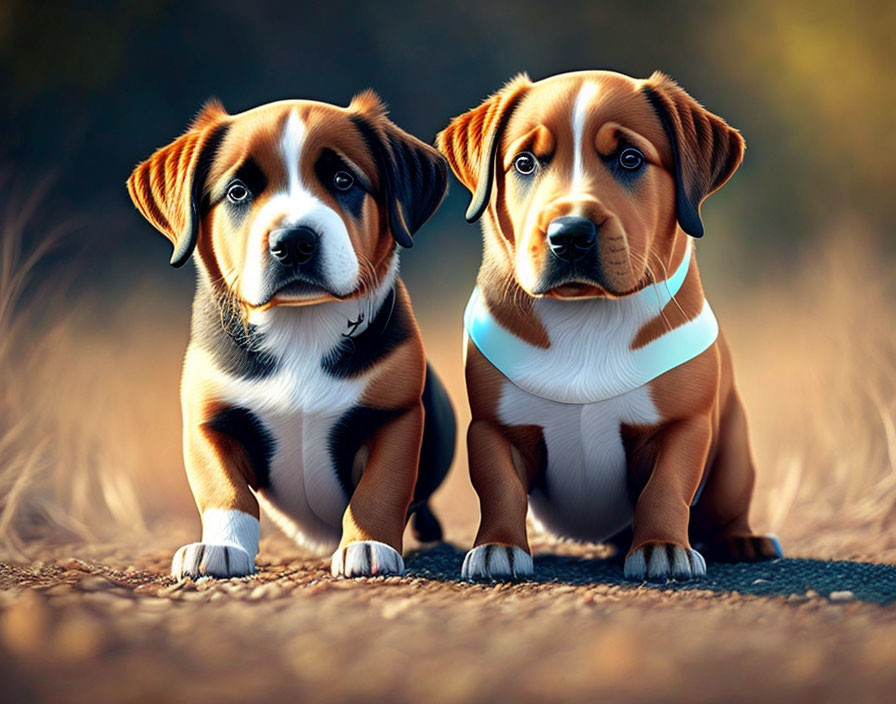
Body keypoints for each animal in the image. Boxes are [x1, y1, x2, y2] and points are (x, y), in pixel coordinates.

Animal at [126, 92, 456, 576]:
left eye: (343, 180)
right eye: (238, 191)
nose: (294, 242)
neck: (301, 325)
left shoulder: (394, 416)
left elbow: (380, 489)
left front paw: (368, 545)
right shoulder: (209, 421)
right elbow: (225, 491)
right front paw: (221, 546)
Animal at [438, 70, 780, 584]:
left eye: (630, 158)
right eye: (524, 163)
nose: (570, 235)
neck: (586, 312)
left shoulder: (683, 427)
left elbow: (666, 487)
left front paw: (662, 547)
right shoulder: (494, 428)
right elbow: (500, 488)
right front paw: (498, 546)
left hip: (733, 461)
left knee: (727, 508)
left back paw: (744, 540)